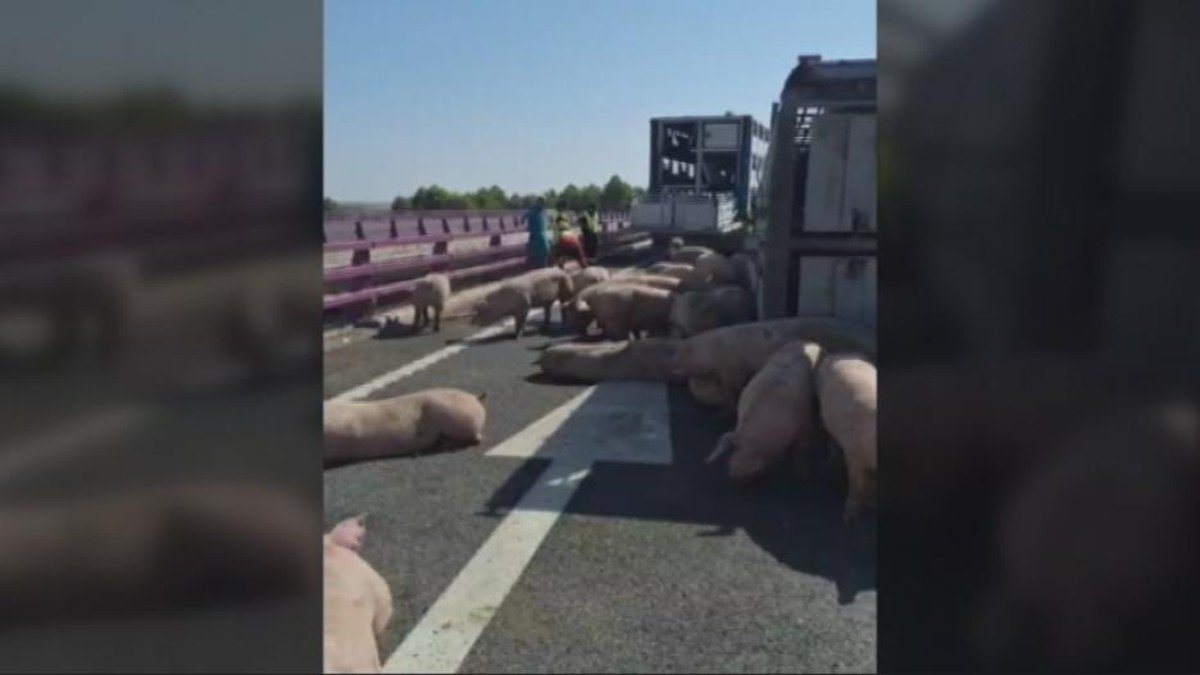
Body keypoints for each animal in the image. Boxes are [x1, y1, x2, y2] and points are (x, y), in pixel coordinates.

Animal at [705, 341, 820, 482]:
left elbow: (802, 449)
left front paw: (802, 476)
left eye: (740, 450)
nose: (734, 474)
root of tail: (811, 342)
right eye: (734, 449)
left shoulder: (805, 422)